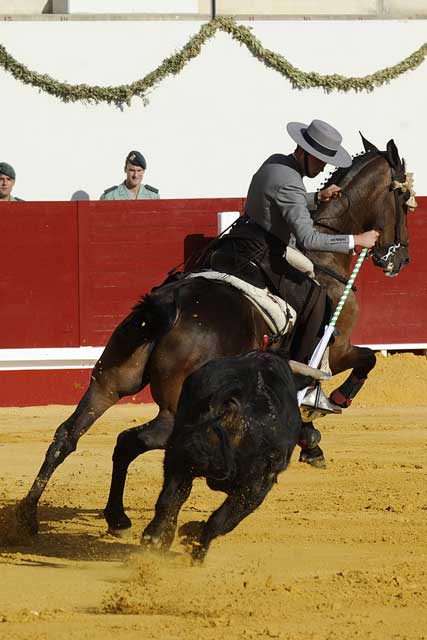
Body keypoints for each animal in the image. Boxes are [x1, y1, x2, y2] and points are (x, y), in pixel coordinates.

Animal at [15, 135, 414, 536]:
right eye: (404, 202)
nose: (400, 260)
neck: (321, 256)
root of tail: (167, 308)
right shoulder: (337, 346)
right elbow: (368, 359)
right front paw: (326, 413)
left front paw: (311, 433)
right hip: (177, 411)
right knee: (130, 441)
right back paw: (124, 519)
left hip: (110, 380)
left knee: (68, 435)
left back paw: (36, 515)